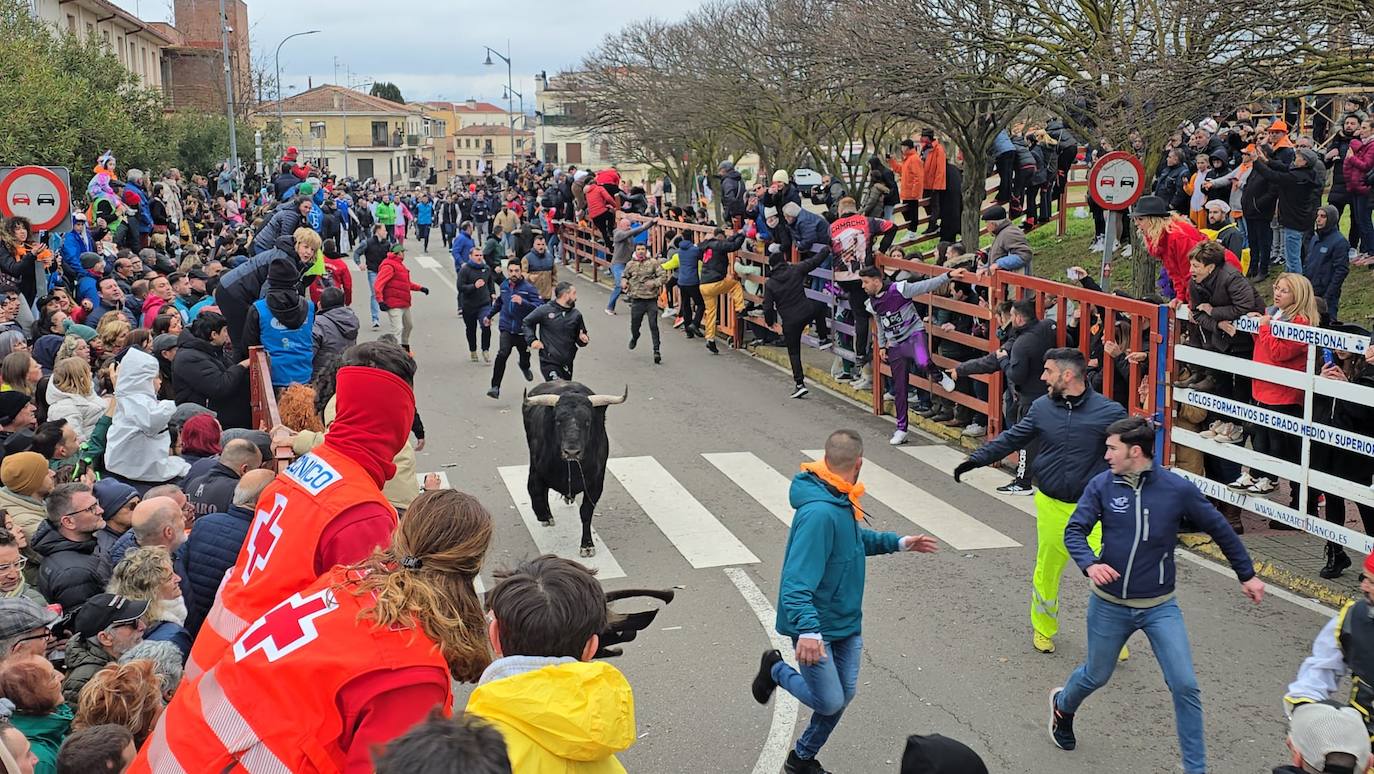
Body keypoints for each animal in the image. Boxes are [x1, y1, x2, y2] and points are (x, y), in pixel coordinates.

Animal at [519, 382, 629, 558]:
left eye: (587, 421)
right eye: (558, 421)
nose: (571, 452)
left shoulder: (595, 484)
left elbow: (586, 512)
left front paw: (587, 545)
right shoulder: (536, 472)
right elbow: (535, 493)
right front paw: (544, 516)